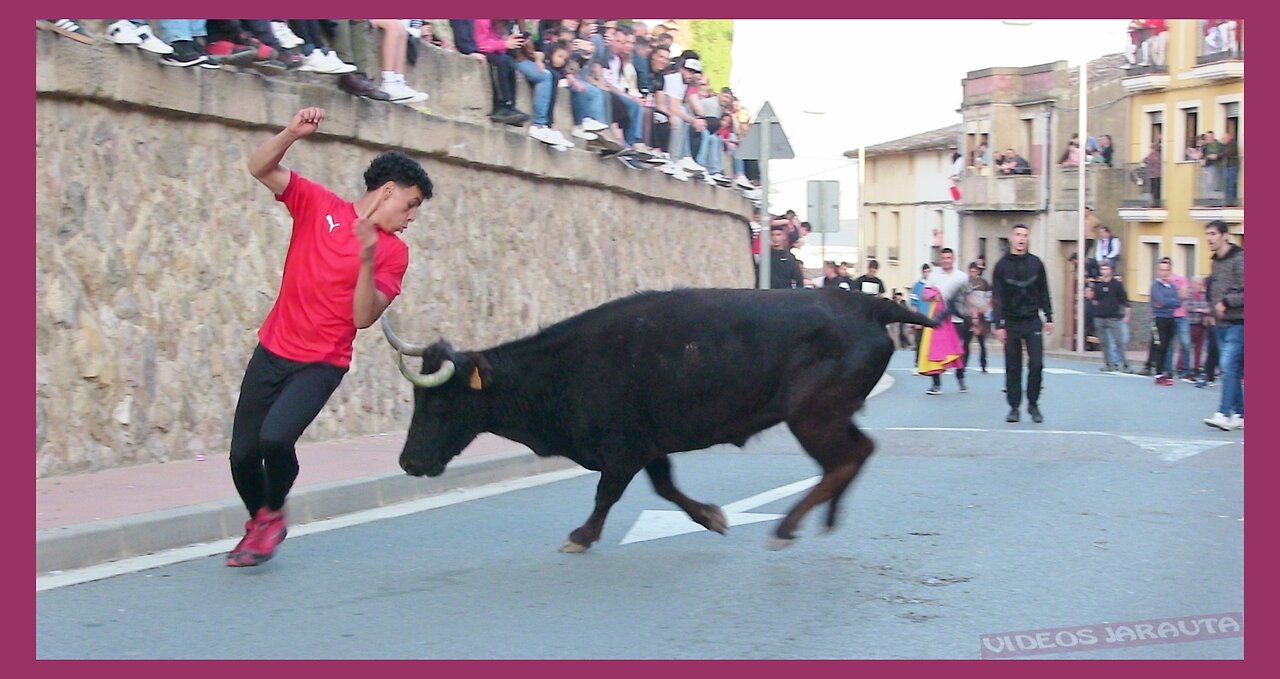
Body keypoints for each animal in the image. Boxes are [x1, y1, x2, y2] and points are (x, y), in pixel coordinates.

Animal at [376, 286, 931, 548]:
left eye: (441, 402)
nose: (408, 462)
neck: (565, 365)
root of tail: (867, 305)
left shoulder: (625, 449)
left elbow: (608, 493)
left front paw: (580, 537)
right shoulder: (650, 447)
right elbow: (665, 488)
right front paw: (712, 516)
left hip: (812, 416)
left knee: (843, 460)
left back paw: (787, 526)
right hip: (830, 415)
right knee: (858, 453)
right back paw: (825, 517)